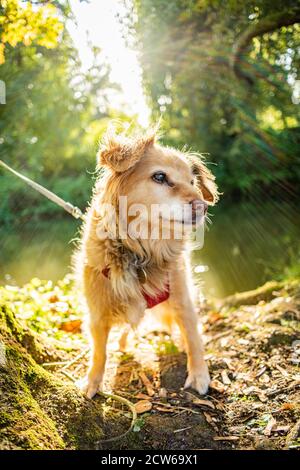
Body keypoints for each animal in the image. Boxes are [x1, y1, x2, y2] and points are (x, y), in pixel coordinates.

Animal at [75, 127, 218, 396]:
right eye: (160, 176)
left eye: (192, 182)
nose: (202, 207)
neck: (142, 250)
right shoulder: (97, 310)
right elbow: (99, 351)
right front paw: (93, 381)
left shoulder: (183, 298)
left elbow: (193, 336)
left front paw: (199, 375)